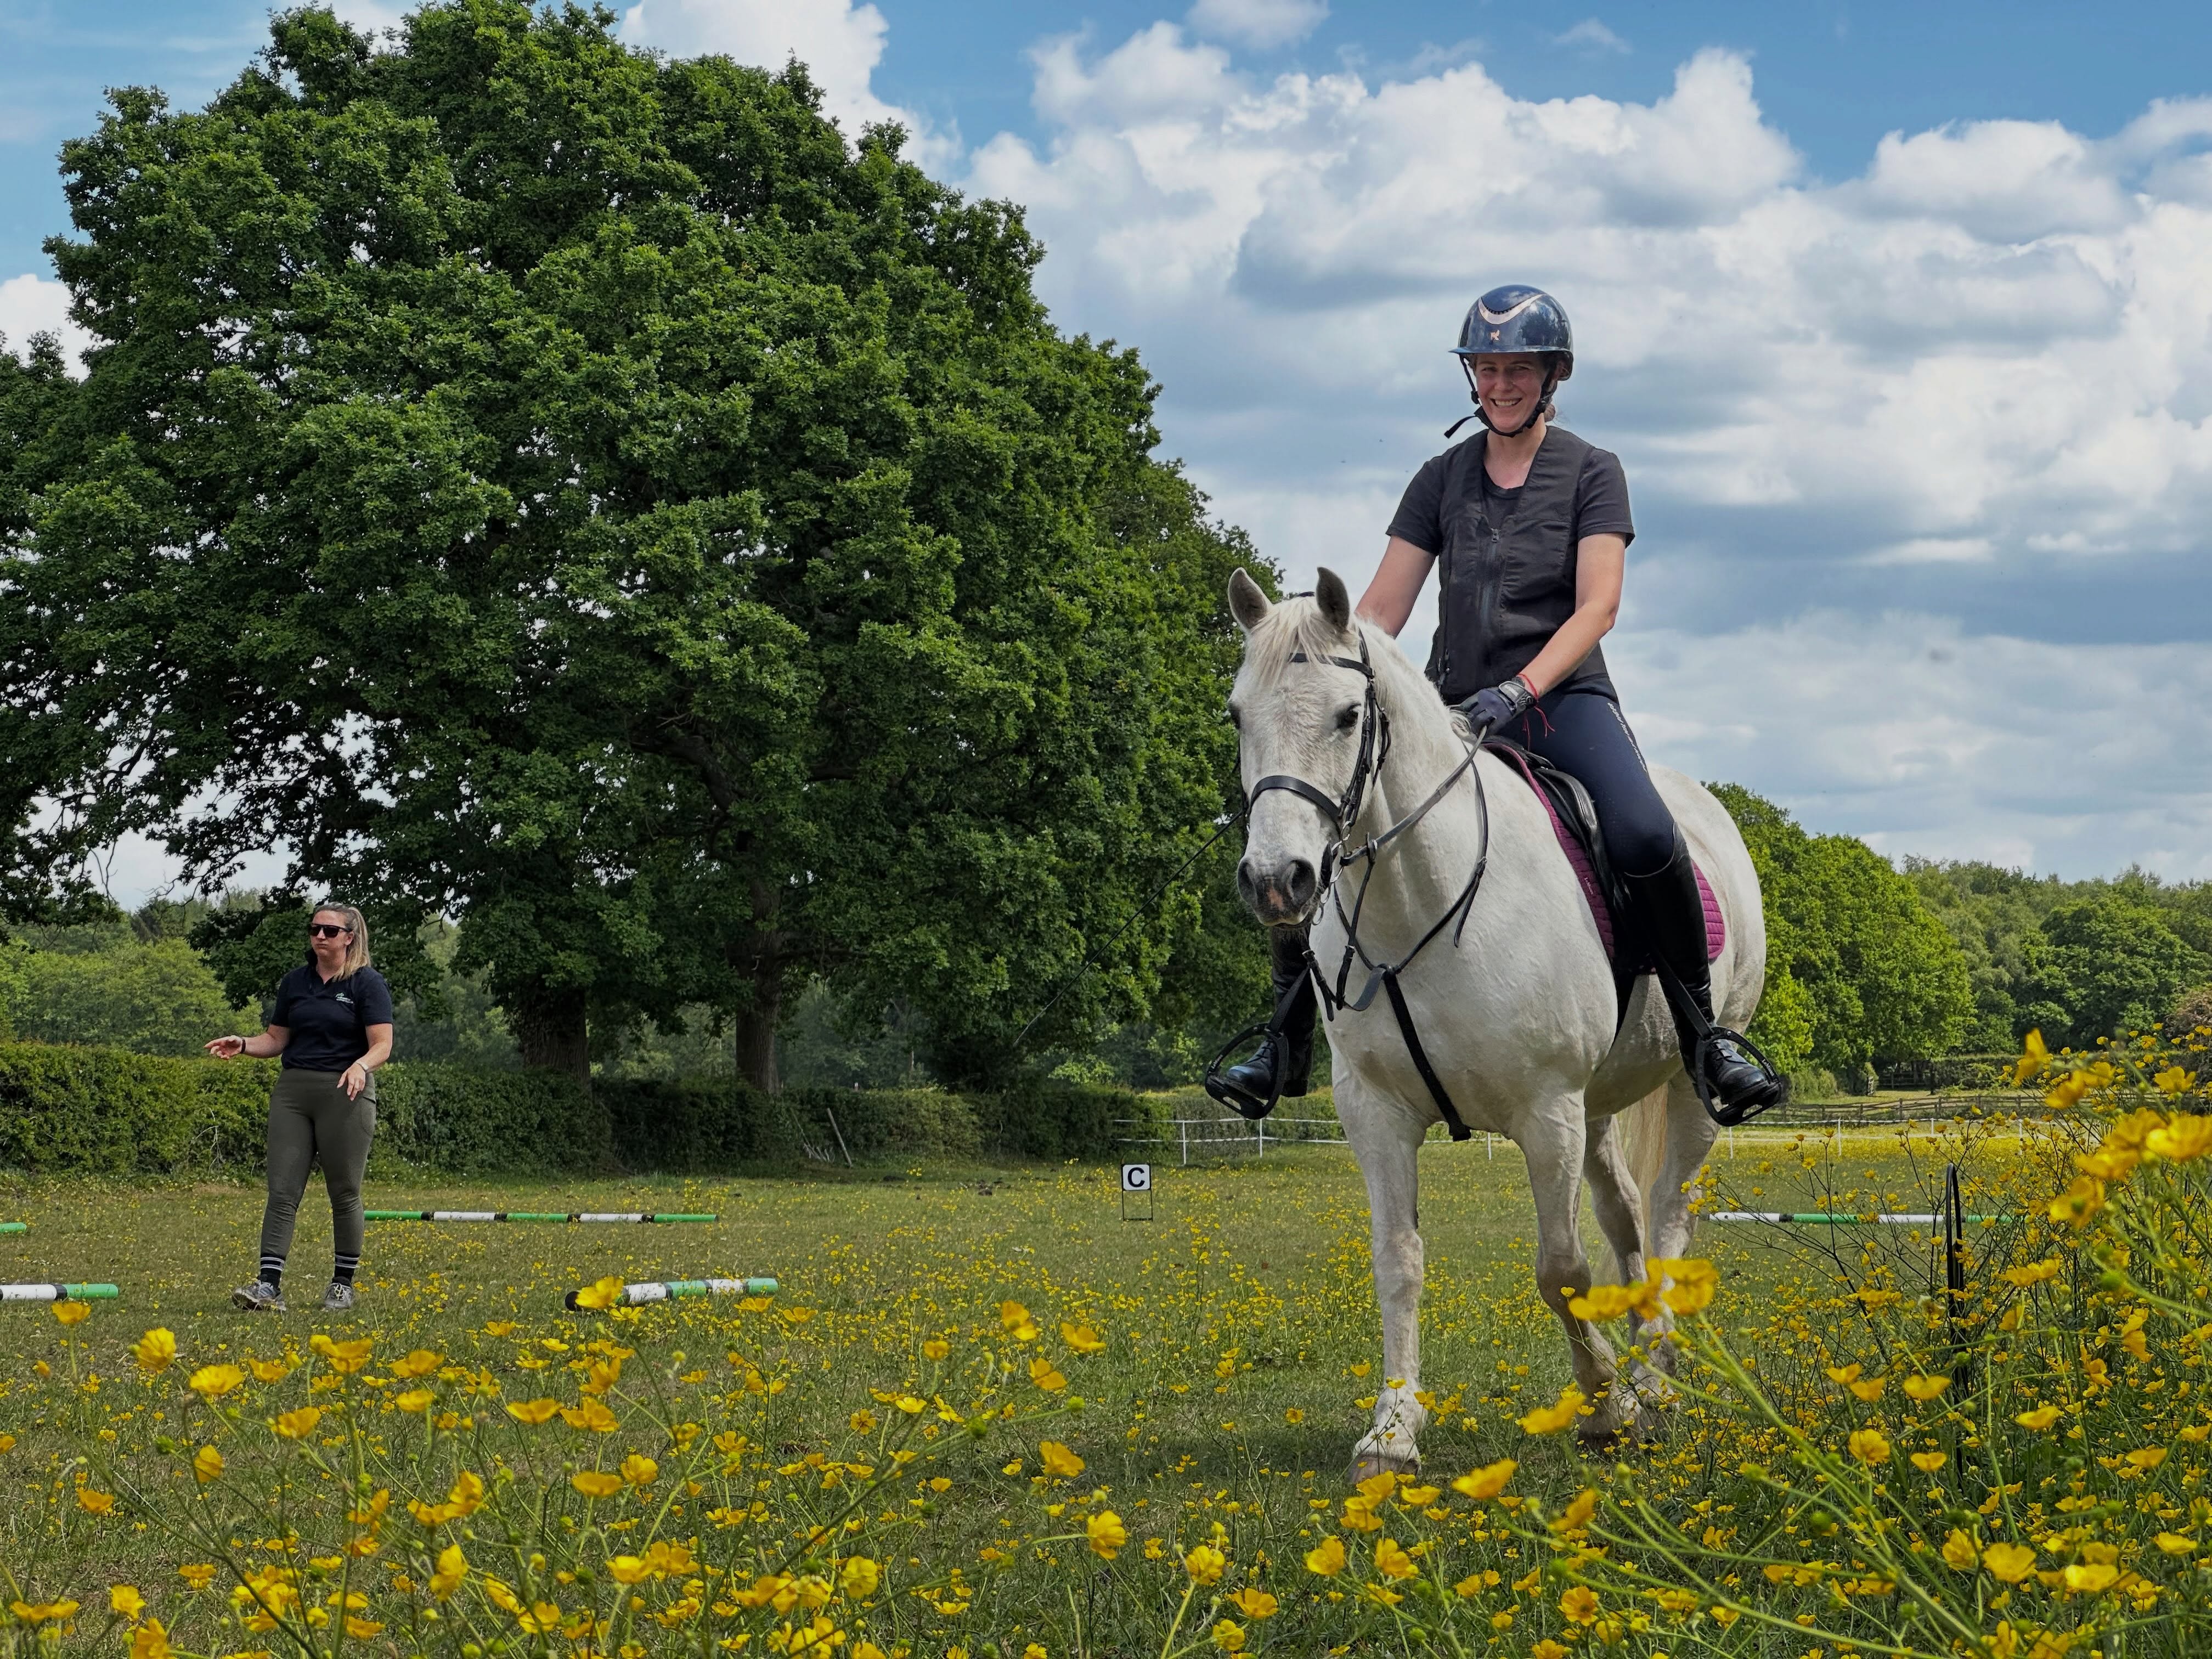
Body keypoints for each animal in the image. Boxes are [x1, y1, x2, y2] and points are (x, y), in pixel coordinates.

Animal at [1224, 567, 1765, 1475]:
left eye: (1347, 715)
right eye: (1237, 714)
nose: (1277, 881)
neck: (1420, 902)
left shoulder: (1547, 1112)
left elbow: (1560, 1270)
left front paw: (1603, 1402)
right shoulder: (1376, 1113)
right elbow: (1398, 1262)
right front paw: (1392, 1431)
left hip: (1686, 1092)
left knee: (1667, 1217)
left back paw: (1651, 1384)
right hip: (1599, 1106)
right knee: (1627, 1216)